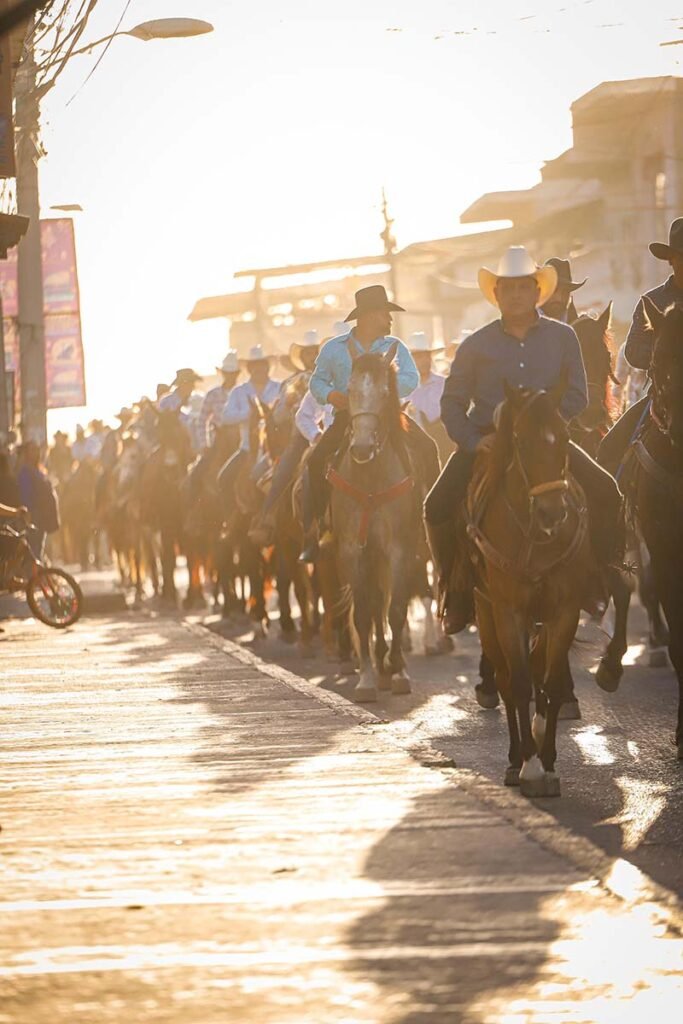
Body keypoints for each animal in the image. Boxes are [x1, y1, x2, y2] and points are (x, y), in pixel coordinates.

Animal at [466, 380, 593, 794]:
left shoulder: (564, 611)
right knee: (507, 681)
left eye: (565, 437)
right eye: (520, 441)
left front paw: (548, 760)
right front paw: (530, 765)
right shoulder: (508, 611)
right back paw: (513, 758)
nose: (553, 512)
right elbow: (519, 684)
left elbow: (549, 683)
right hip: (486, 611)